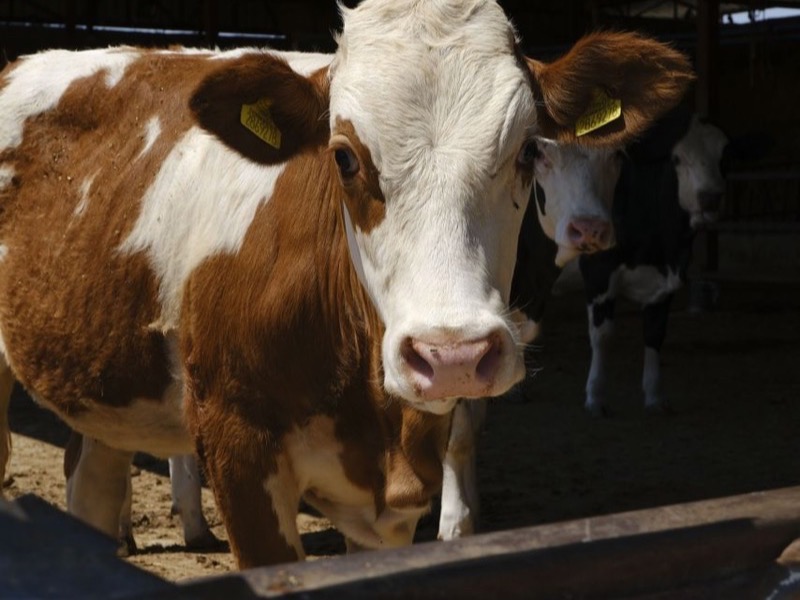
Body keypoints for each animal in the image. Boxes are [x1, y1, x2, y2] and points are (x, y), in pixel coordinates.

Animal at [438, 141, 624, 539]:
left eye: (616, 154)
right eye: (540, 154)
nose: (590, 229)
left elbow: (471, 426)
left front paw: (471, 510)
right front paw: (454, 520)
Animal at [579, 109, 731, 417]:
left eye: (723, 157)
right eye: (676, 158)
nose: (711, 197)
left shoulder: (665, 281)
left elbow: (655, 332)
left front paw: (654, 396)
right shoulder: (597, 271)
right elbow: (602, 335)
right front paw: (595, 397)